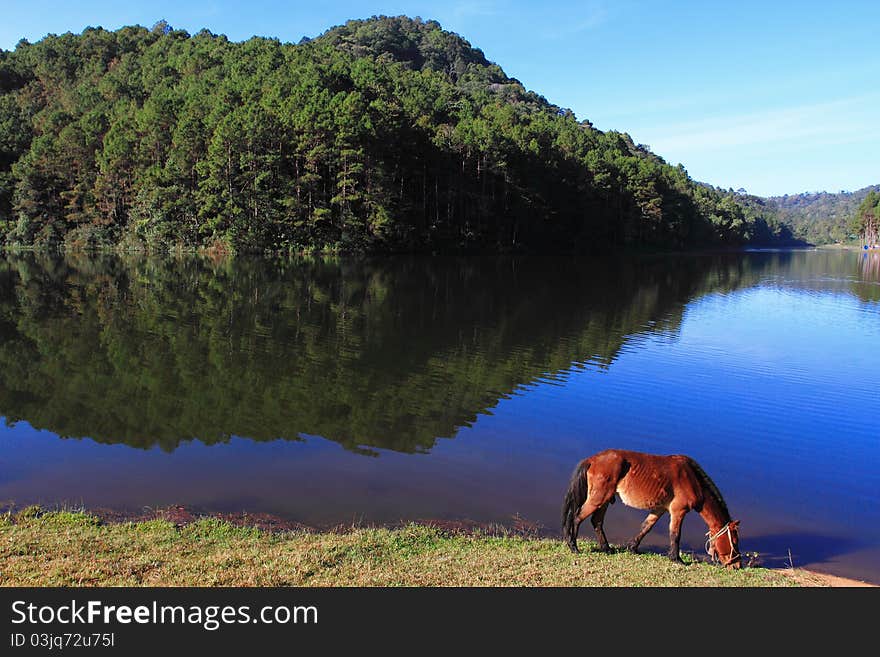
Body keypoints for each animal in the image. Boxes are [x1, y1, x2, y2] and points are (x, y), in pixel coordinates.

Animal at [560, 448, 740, 568]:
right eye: (734, 542)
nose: (737, 565)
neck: (692, 479)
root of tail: (592, 459)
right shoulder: (678, 511)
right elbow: (675, 534)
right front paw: (677, 559)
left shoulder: (660, 509)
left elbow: (646, 528)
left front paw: (633, 548)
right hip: (598, 499)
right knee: (577, 517)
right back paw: (573, 546)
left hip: (604, 500)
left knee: (596, 521)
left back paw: (606, 548)